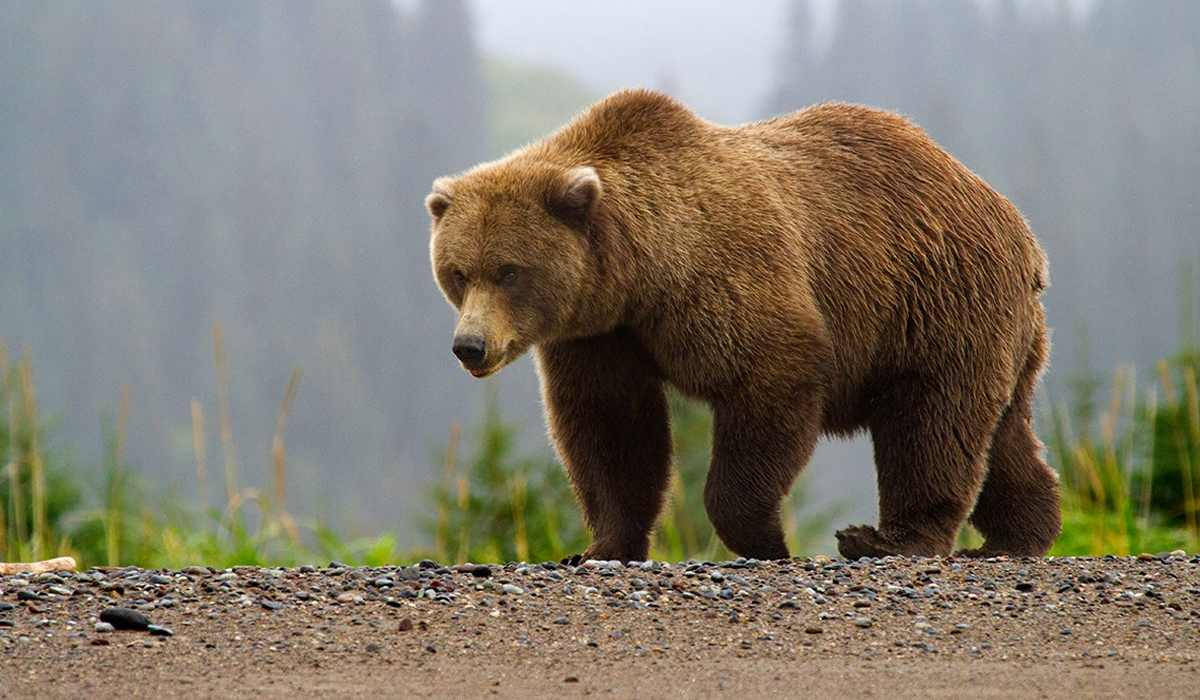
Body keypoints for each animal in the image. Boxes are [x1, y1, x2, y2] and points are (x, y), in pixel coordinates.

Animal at [429, 88, 1060, 564]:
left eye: (510, 271)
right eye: (458, 272)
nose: (469, 346)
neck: (639, 274)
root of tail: (1018, 227)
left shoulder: (725, 278)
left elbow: (770, 380)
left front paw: (766, 538)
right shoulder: (600, 334)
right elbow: (611, 428)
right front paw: (600, 546)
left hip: (935, 299)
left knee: (931, 422)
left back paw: (886, 540)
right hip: (995, 328)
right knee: (1001, 434)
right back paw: (1019, 534)